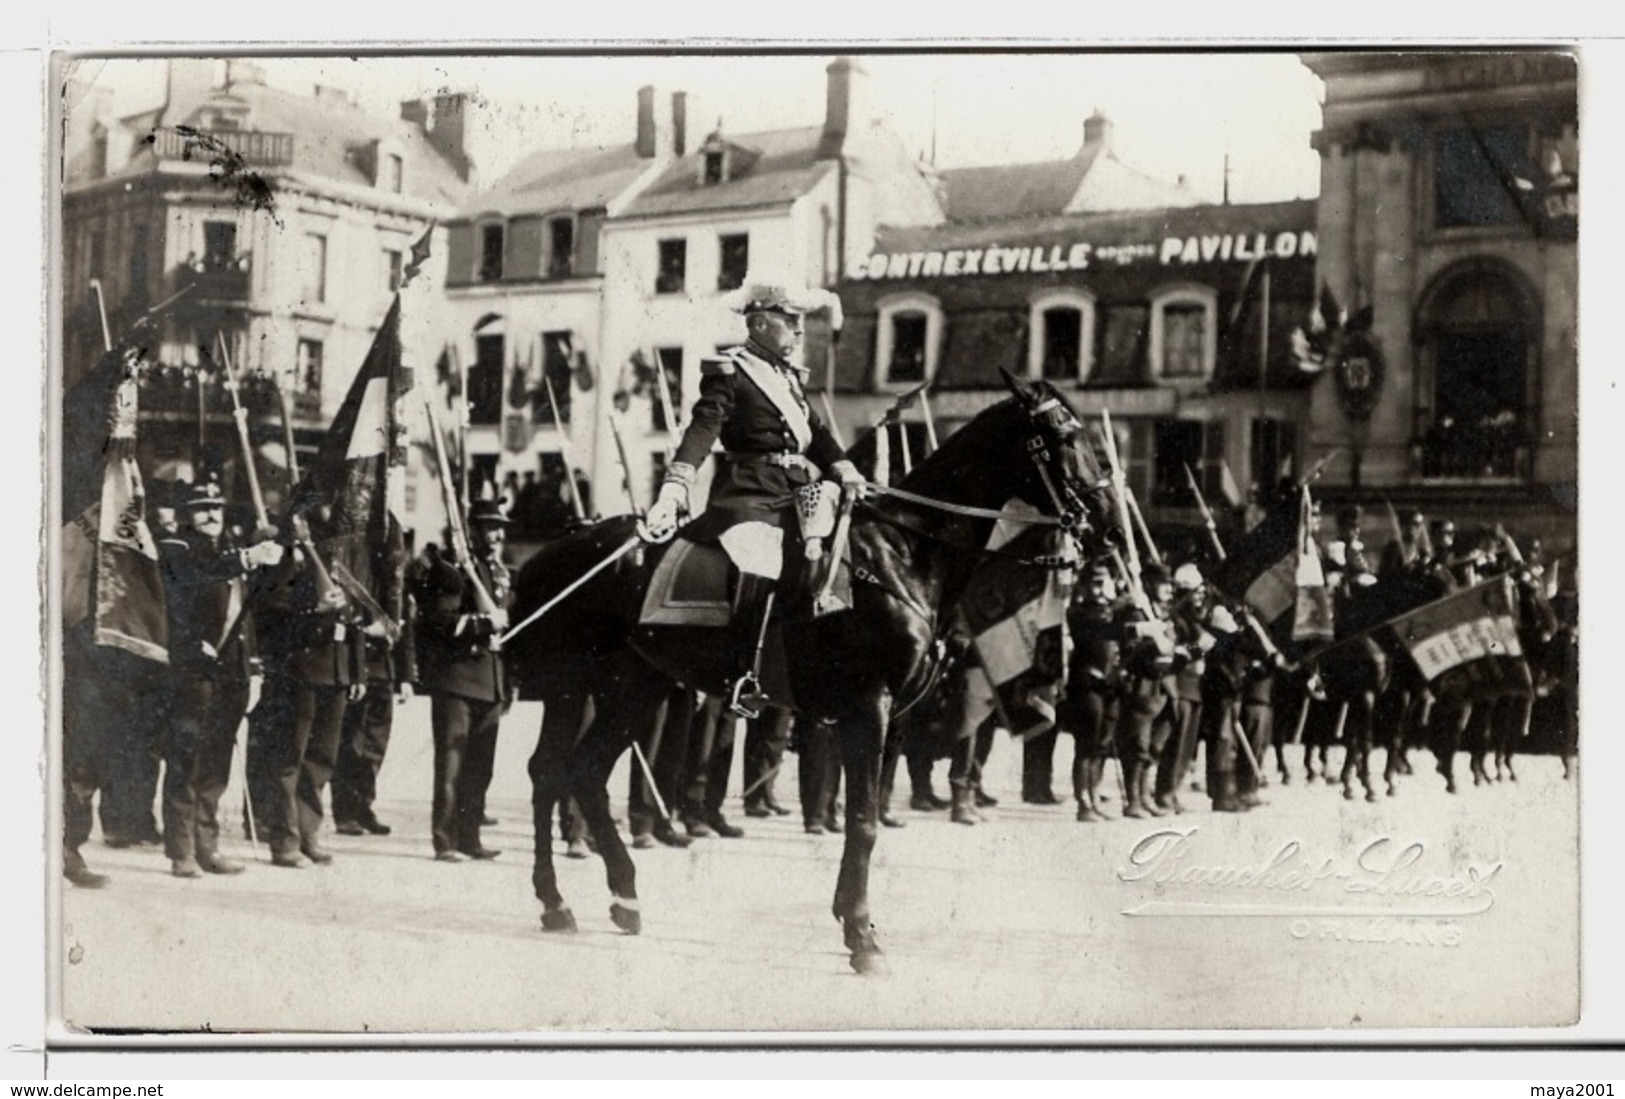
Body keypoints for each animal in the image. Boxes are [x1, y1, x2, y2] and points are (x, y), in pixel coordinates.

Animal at [500, 375, 1111, 968]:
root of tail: (557, 550)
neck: (900, 552)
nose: (1104, 523)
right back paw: (557, 900)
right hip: (574, 689)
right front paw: (862, 937)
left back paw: (619, 897)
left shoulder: (892, 716)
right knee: (550, 772)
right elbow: (862, 818)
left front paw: (850, 918)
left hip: (634, 687)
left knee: (580, 771)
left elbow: (866, 811)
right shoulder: (869, 706)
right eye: (1062, 434)